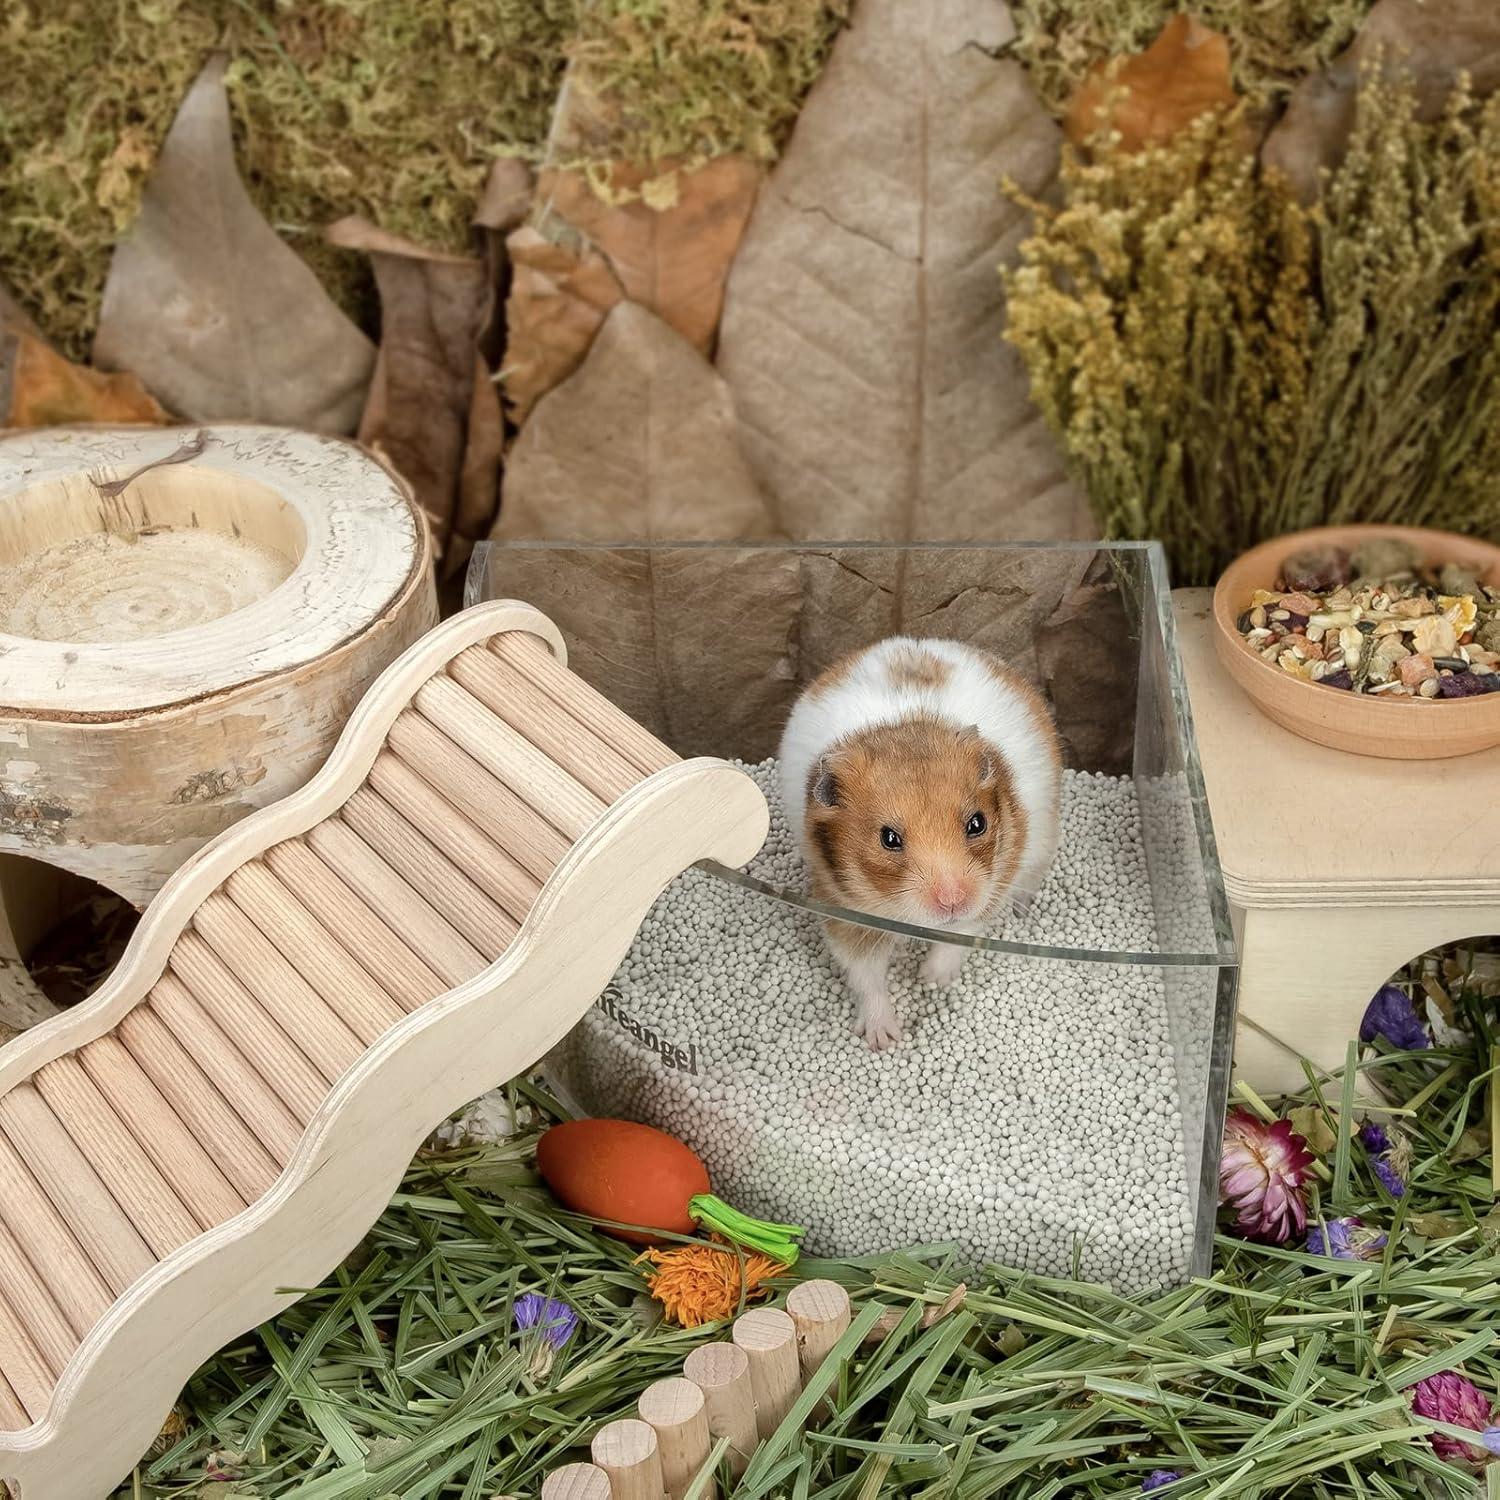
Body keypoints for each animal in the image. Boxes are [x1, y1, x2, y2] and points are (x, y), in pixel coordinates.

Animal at [778, 637, 1061, 1050]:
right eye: (888, 838)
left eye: (978, 823)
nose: (953, 902)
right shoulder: (843, 909)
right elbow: (866, 975)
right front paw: (883, 1039)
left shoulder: (993, 886)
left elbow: (958, 935)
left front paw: (930, 980)